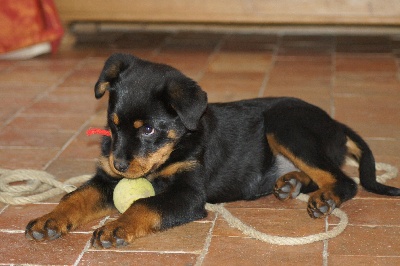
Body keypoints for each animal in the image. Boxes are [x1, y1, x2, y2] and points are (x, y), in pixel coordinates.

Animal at [25, 53, 400, 247]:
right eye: (113, 124)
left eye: (148, 129)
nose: (118, 163)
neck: (178, 143)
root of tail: (336, 124)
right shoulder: (106, 180)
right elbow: (76, 195)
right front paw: (49, 220)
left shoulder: (189, 194)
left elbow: (145, 203)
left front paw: (117, 227)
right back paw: (291, 183)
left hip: (285, 122)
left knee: (344, 180)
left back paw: (324, 199)